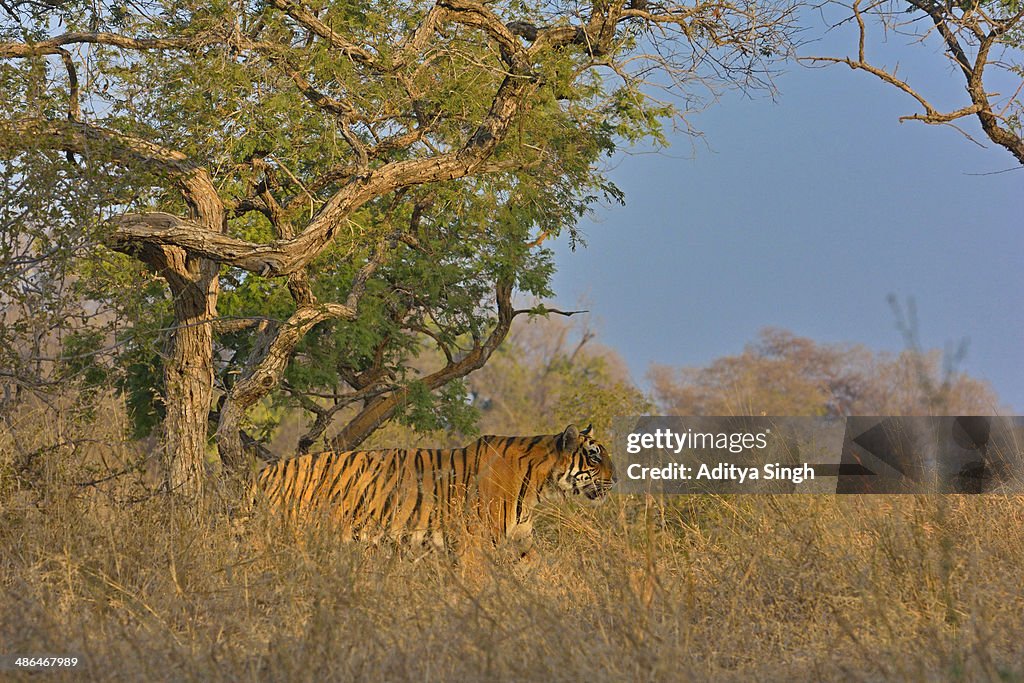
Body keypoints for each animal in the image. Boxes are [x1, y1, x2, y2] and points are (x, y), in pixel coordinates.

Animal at [254, 421, 614, 557]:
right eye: (596, 456)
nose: (616, 479)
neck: (539, 485)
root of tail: (264, 472)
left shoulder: (520, 541)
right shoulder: (476, 541)